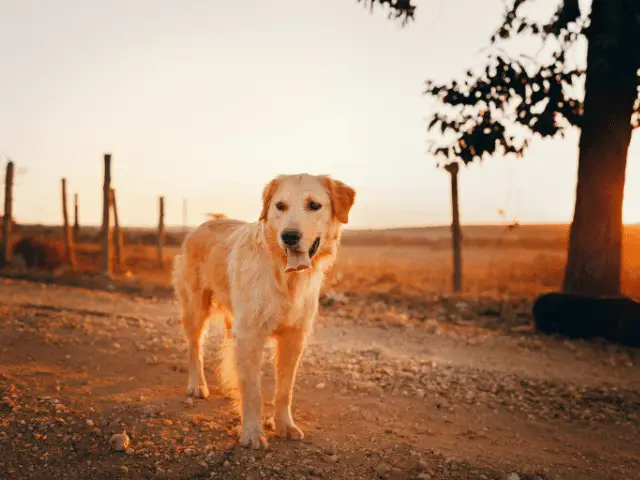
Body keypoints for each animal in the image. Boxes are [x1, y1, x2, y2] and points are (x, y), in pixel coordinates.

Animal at [172, 174, 356, 448]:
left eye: (314, 205)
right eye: (280, 206)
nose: (289, 236)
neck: (285, 276)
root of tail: (207, 222)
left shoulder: (294, 337)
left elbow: (284, 390)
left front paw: (284, 425)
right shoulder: (250, 335)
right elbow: (253, 392)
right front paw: (251, 433)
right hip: (196, 308)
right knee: (195, 347)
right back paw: (197, 385)